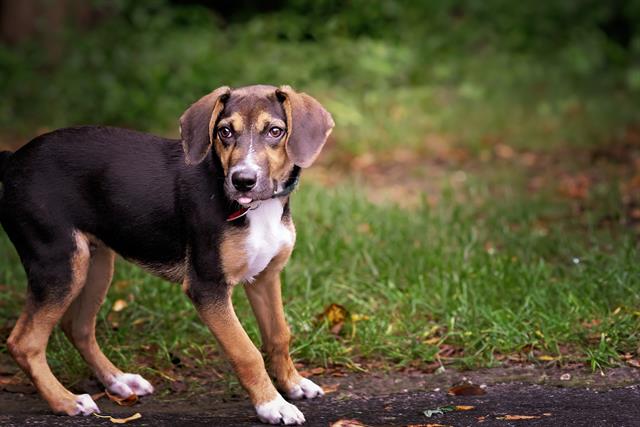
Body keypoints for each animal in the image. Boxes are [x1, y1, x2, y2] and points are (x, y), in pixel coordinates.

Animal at [0, 84, 336, 424]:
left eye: (275, 131)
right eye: (225, 131)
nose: (243, 180)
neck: (257, 208)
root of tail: (12, 161)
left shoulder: (265, 277)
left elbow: (278, 335)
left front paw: (293, 384)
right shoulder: (207, 287)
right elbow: (246, 352)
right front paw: (272, 405)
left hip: (95, 263)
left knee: (78, 327)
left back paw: (119, 381)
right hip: (60, 263)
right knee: (24, 343)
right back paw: (65, 401)